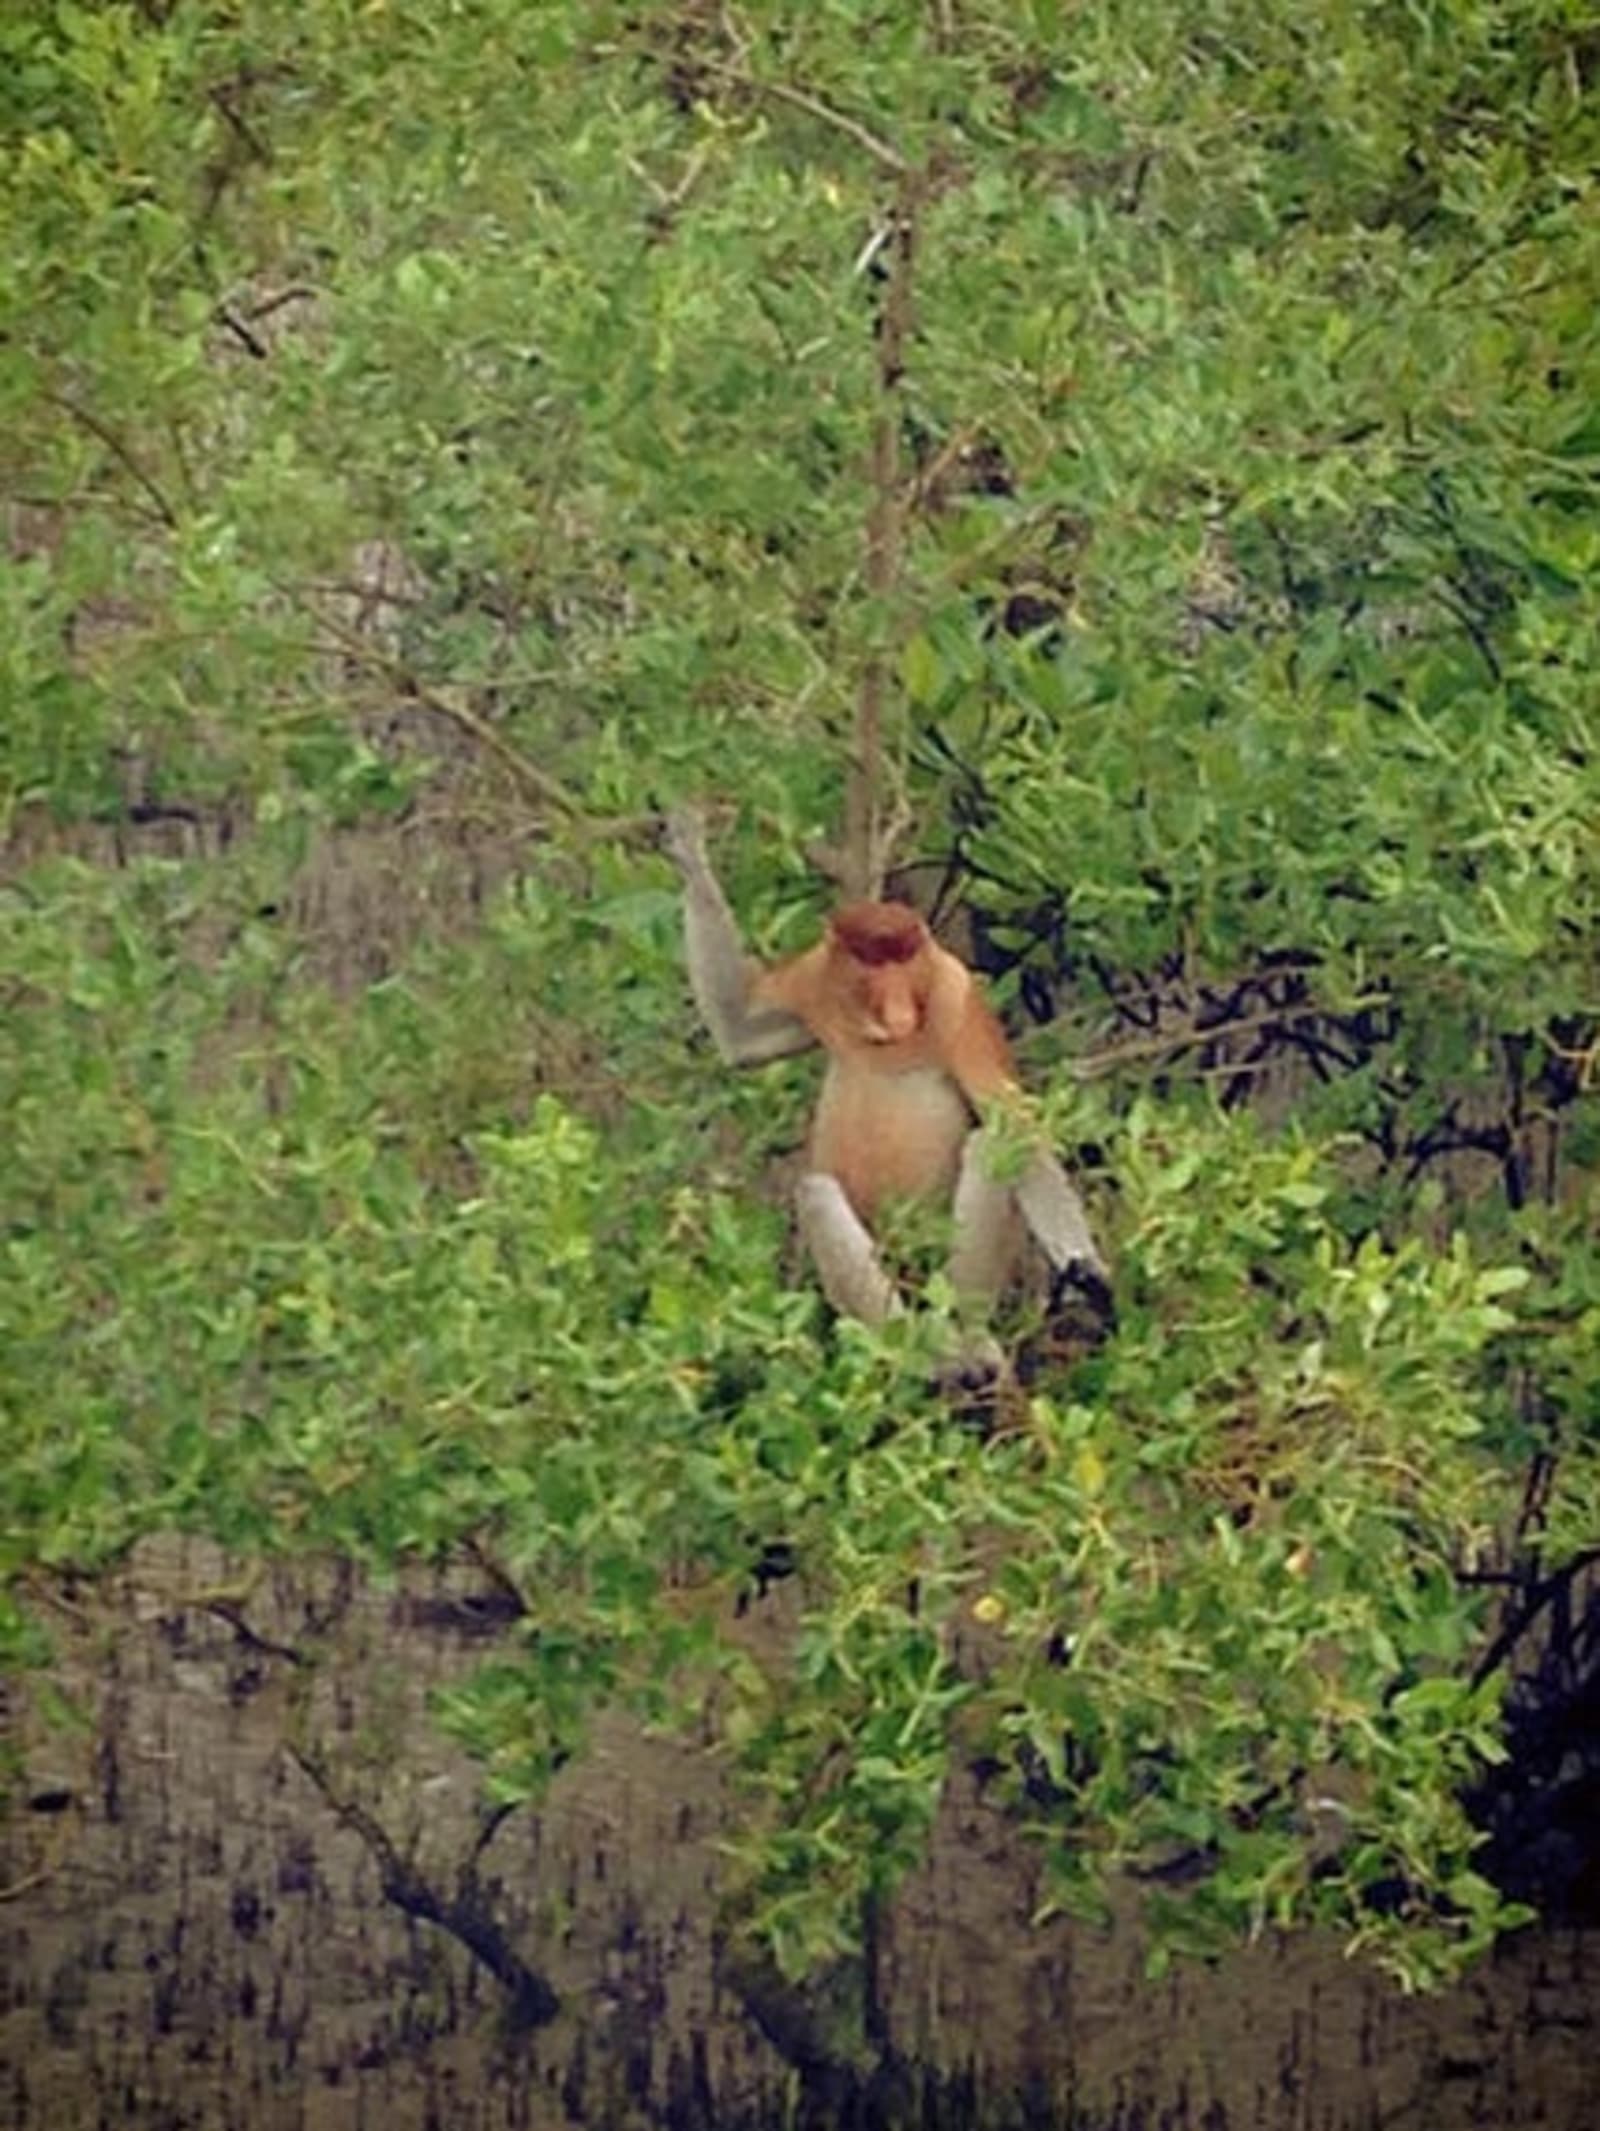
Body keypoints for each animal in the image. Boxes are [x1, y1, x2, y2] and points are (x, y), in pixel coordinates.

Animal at [665, 809, 1107, 1373]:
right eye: (873, 960)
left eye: (904, 957)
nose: (898, 1007)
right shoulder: (815, 977)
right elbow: (742, 1032)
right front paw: (688, 848)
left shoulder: (957, 998)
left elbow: (1012, 1128)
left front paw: (1088, 1273)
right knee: (815, 1192)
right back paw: (905, 1348)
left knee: (989, 1146)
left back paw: (964, 1345)